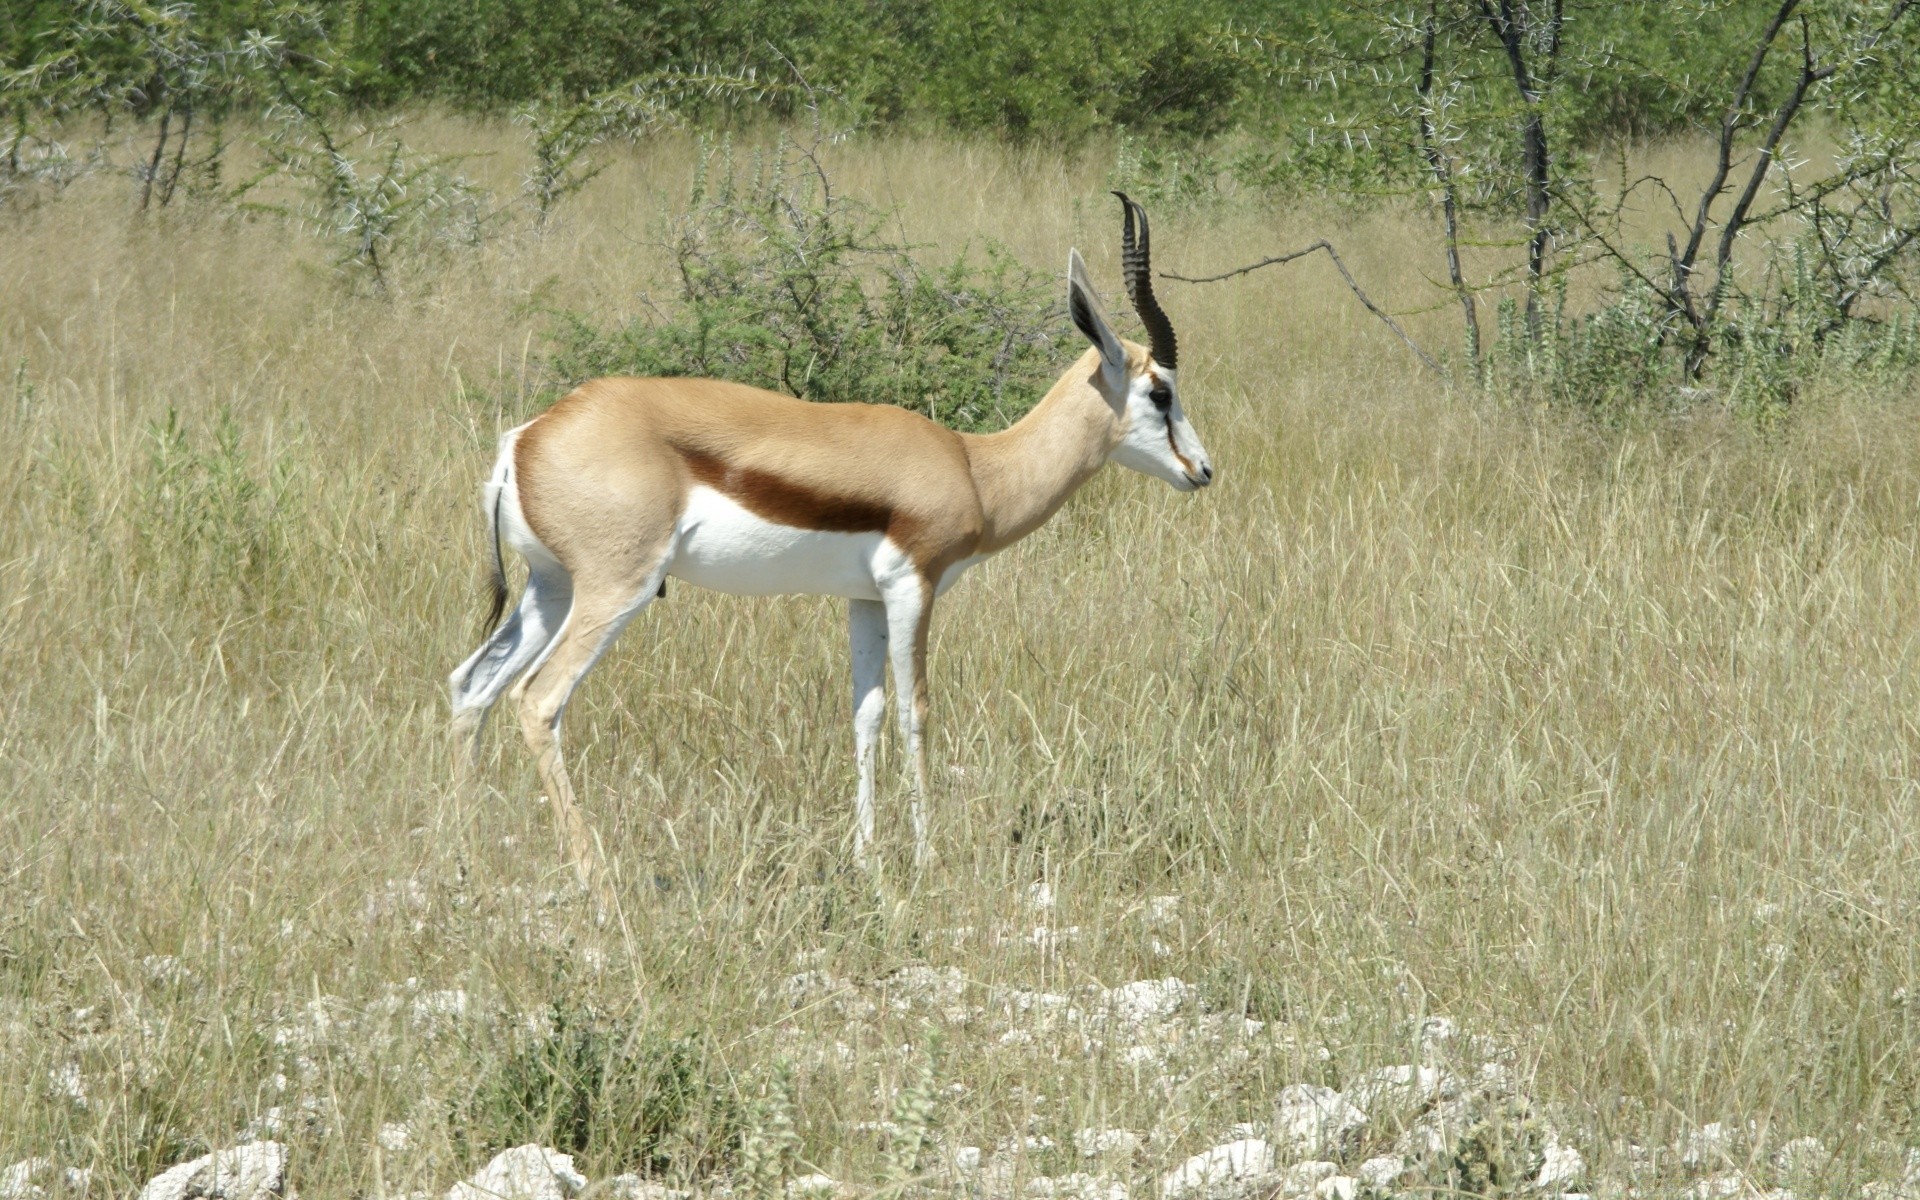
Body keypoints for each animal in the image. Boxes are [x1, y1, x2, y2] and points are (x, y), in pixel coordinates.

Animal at [441, 193, 1205, 890]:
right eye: (1161, 392)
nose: (1202, 470)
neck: (975, 467)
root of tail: (527, 437)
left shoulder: (863, 600)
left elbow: (865, 713)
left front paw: (867, 860)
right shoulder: (913, 587)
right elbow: (915, 710)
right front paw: (928, 860)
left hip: (551, 587)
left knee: (472, 686)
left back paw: (470, 860)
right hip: (614, 588)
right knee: (539, 701)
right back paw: (594, 875)